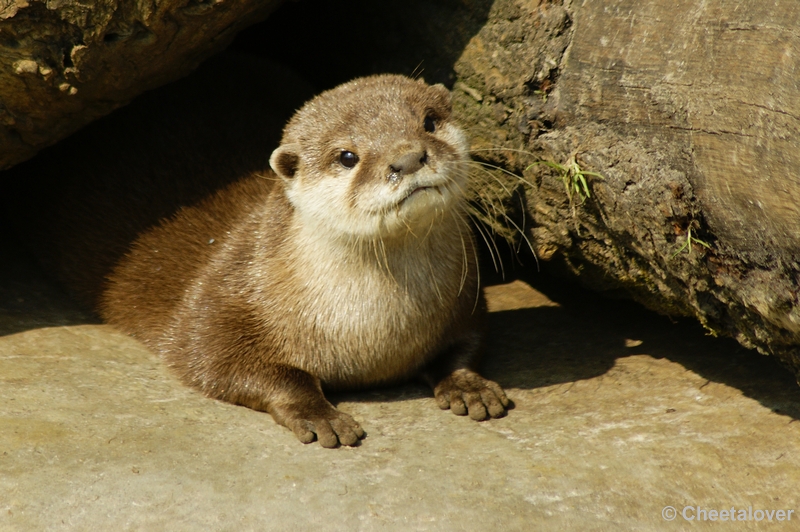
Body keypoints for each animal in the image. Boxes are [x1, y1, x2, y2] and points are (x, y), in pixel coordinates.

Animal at [3, 62, 510, 446]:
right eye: (347, 156)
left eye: (429, 121)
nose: (407, 157)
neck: (372, 333)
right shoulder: (219, 300)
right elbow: (221, 363)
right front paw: (319, 415)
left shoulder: (466, 295)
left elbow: (467, 344)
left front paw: (469, 386)